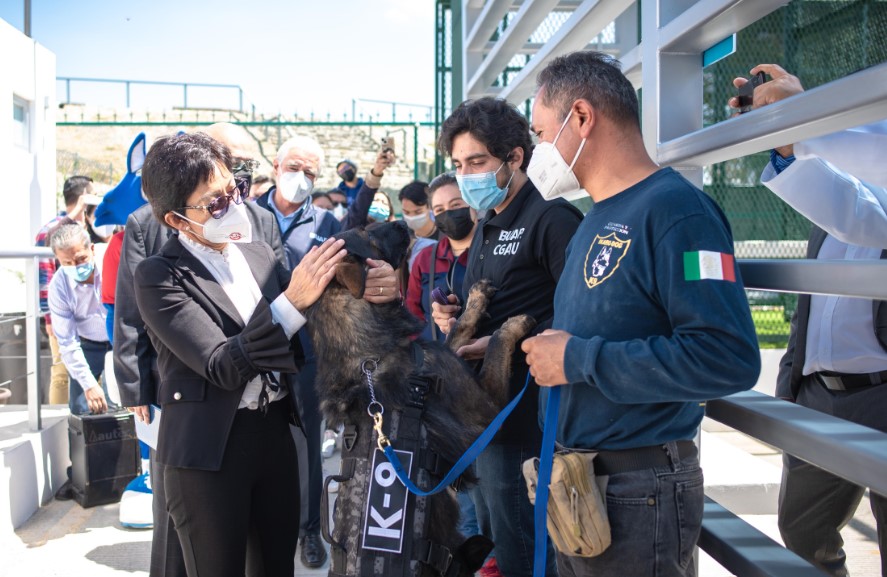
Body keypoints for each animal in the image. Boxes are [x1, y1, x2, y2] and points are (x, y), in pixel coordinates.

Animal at [306, 222, 536, 576]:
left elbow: (457, 329)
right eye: (367, 233)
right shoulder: (485, 415)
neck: (367, 356)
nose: (403, 223)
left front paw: (475, 300)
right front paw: (515, 324)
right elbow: (496, 341)